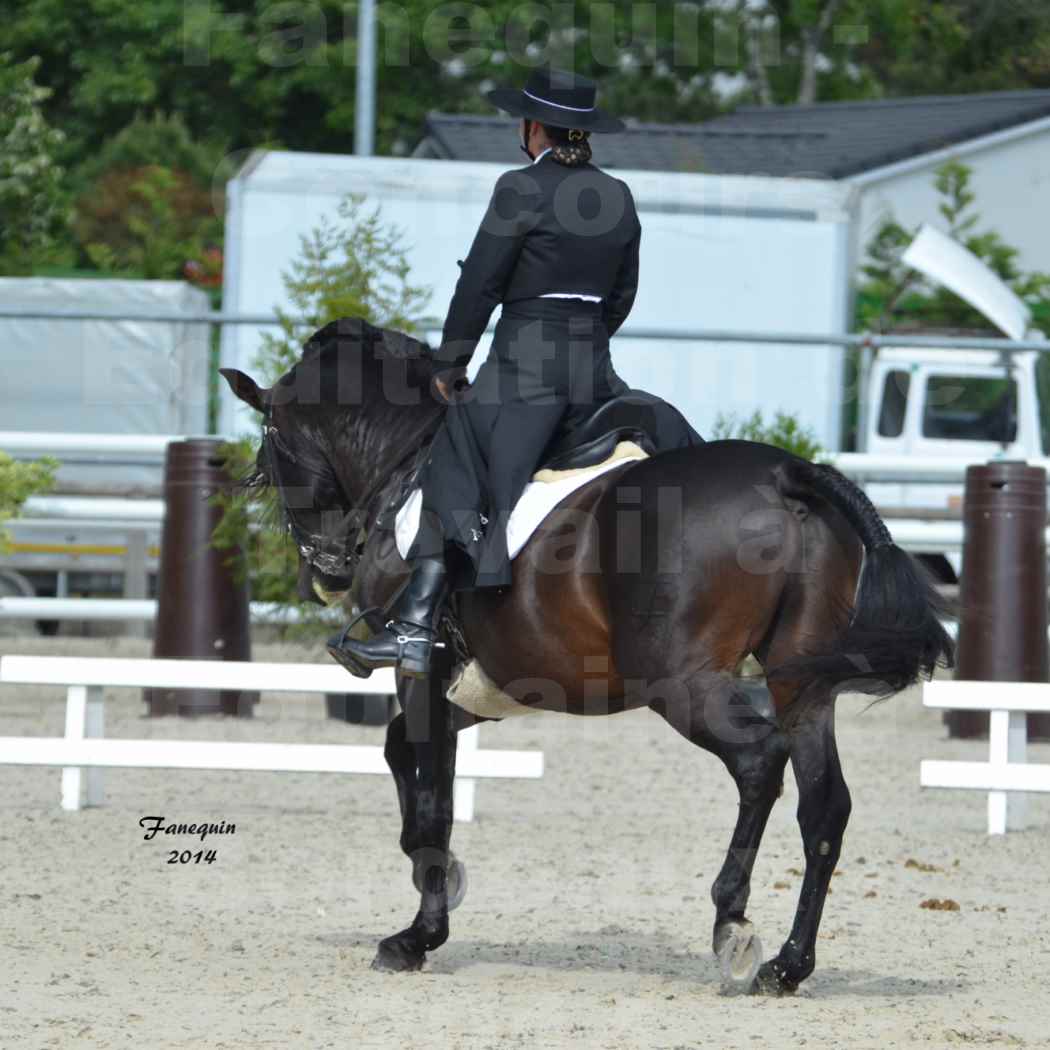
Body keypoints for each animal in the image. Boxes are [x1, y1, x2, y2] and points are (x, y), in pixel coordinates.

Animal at [219, 319, 953, 991]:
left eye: (273, 447)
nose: (326, 570)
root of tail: (786, 473)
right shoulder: (485, 686)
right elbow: (405, 756)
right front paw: (438, 876)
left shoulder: (421, 675)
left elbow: (430, 792)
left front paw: (418, 933)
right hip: (801, 687)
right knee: (824, 806)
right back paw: (788, 965)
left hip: (683, 685)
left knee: (757, 763)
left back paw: (732, 925)